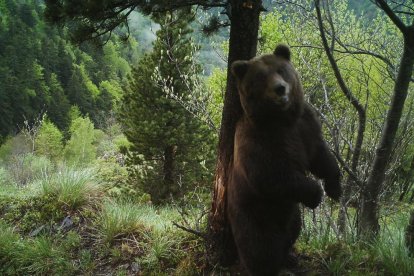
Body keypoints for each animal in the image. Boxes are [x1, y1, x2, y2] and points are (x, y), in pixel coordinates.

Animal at [228, 44, 342, 274]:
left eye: (281, 70)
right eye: (261, 77)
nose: (280, 89)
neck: (281, 119)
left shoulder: (305, 124)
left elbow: (320, 155)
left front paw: (335, 187)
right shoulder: (257, 141)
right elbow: (271, 175)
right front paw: (316, 194)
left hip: (291, 214)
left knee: (293, 230)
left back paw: (290, 257)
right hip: (253, 215)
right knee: (260, 247)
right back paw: (271, 267)